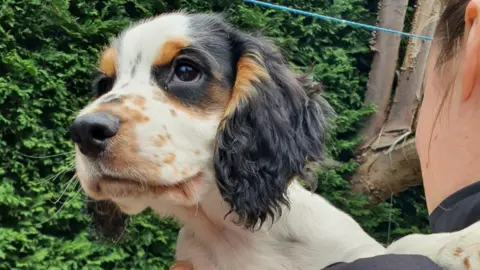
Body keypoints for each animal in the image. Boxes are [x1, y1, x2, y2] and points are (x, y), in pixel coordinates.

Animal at [71, 12, 480, 270]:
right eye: (104, 84)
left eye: (186, 70)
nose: (84, 131)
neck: (230, 232)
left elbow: (398, 243)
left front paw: (462, 242)